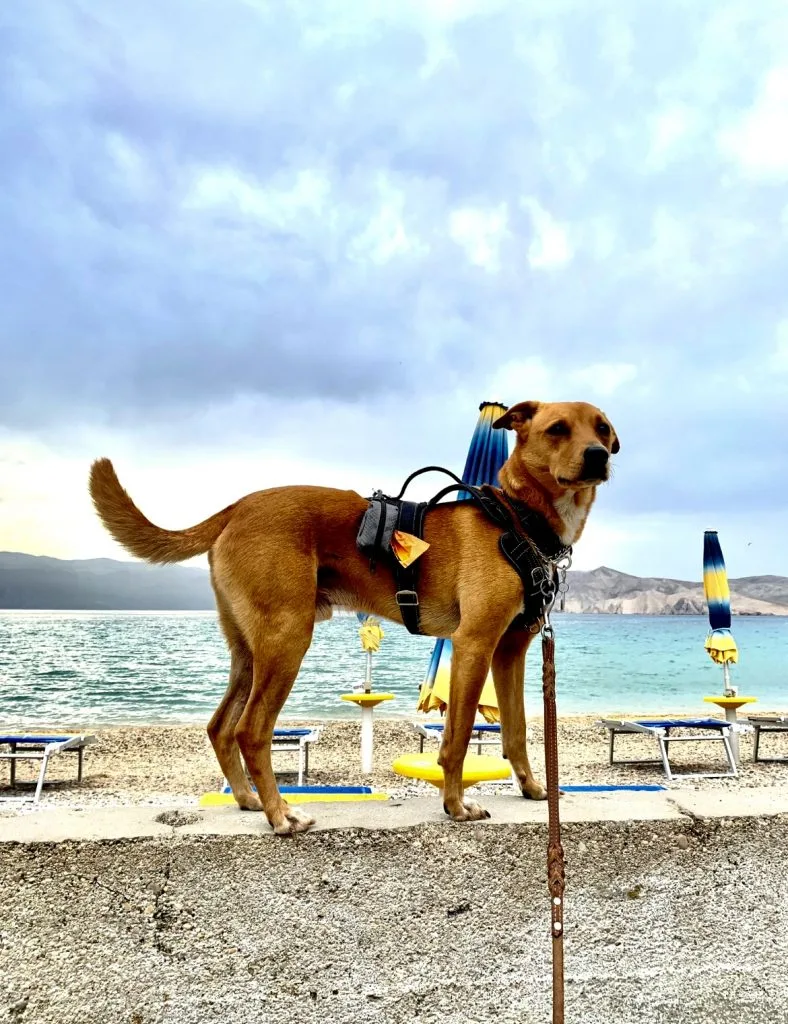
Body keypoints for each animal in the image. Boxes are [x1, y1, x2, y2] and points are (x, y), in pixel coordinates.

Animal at [85, 397, 614, 831]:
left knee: (219, 726)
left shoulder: (510, 651)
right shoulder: (473, 645)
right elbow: (458, 737)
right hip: (286, 640)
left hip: (249, 650)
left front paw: (532, 789)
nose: (598, 455)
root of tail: (237, 507)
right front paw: (455, 805)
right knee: (250, 730)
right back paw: (280, 814)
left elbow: (517, 730)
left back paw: (248, 800)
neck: (518, 518)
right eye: (557, 429)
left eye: (602, 428)